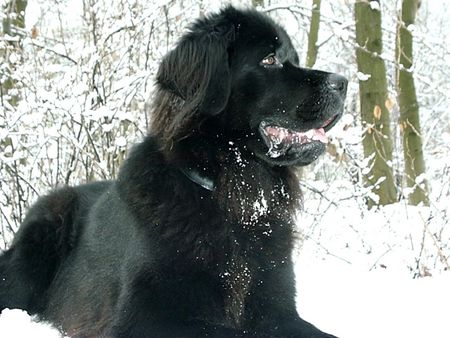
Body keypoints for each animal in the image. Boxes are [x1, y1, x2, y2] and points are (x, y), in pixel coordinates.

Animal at [0, 5, 346, 338]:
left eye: (294, 59)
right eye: (270, 59)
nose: (343, 82)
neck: (233, 199)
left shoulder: (277, 307)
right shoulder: (145, 317)